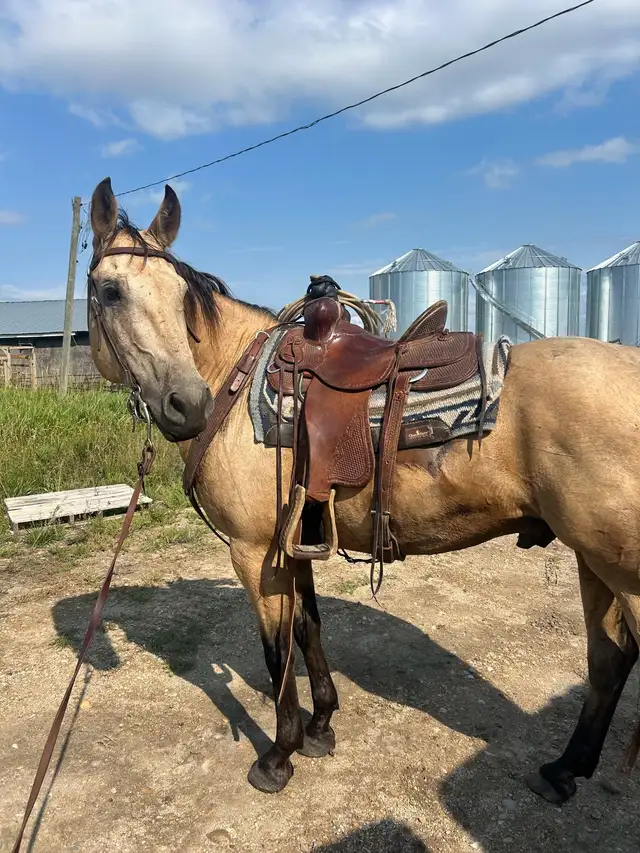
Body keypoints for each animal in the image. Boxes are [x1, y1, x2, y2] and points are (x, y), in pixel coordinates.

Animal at [86, 176, 640, 806]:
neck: (234, 380)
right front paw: (322, 726)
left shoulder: (253, 552)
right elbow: (308, 629)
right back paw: (563, 770)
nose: (187, 405)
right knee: (609, 658)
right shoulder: (291, 543)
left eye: (180, 297)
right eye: (110, 291)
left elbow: (277, 650)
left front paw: (279, 756)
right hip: (594, 560)